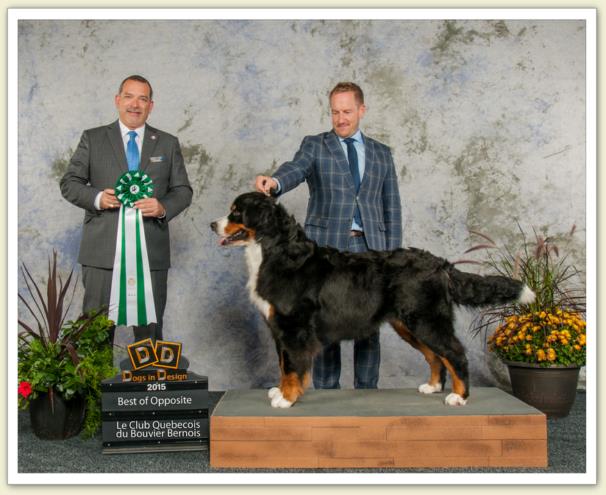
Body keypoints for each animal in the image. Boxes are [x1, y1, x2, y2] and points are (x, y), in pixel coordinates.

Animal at [211, 194, 536, 410]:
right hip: (408, 324)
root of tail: (439, 264)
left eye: (236, 212)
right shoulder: (279, 327)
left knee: (454, 353)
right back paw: (432, 387)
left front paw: (287, 398)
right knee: (435, 356)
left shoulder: (293, 326)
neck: (275, 250)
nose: (212, 224)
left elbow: (292, 366)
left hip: (425, 320)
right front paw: (280, 391)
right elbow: (283, 364)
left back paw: (459, 396)